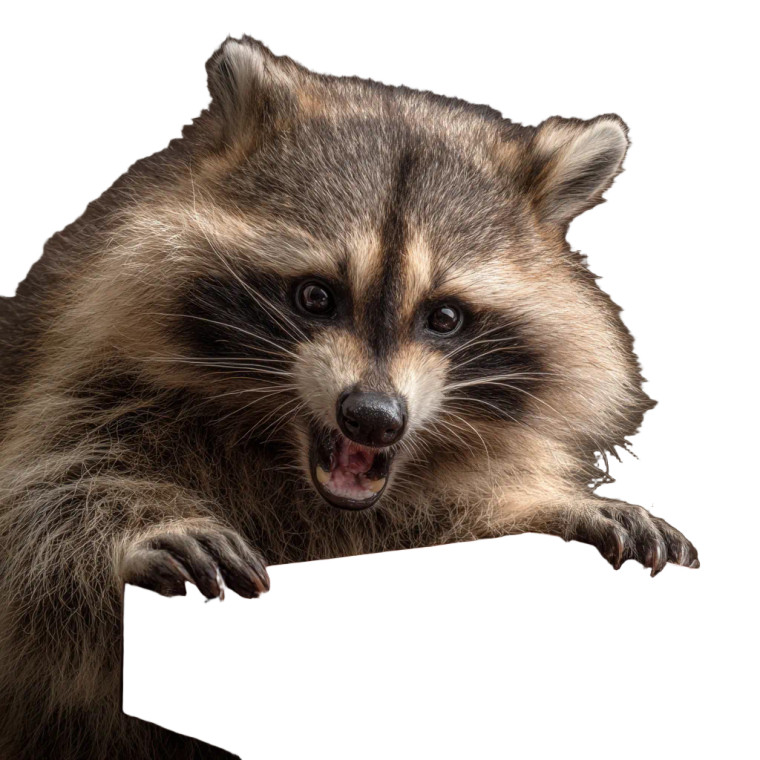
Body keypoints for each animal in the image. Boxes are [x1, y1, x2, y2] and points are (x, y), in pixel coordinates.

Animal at [0, 36, 698, 760]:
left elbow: (440, 521)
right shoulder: (83, 377)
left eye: (444, 317)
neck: (289, 463)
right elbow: (38, 513)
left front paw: (546, 504)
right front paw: (134, 527)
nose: (373, 419)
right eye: (315, 296)